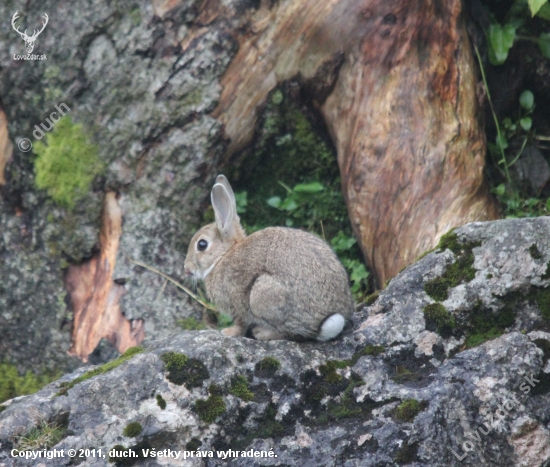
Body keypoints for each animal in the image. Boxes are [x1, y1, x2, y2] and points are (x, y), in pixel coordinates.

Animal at [185, 174, 356, 342]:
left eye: (202, 244)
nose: (186, 269)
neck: (222, 256)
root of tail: (322, 324)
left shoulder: (236, 304)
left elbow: (240, 324)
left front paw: (227, 332)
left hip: (262, 293)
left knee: (290, 333)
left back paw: (262, 333)